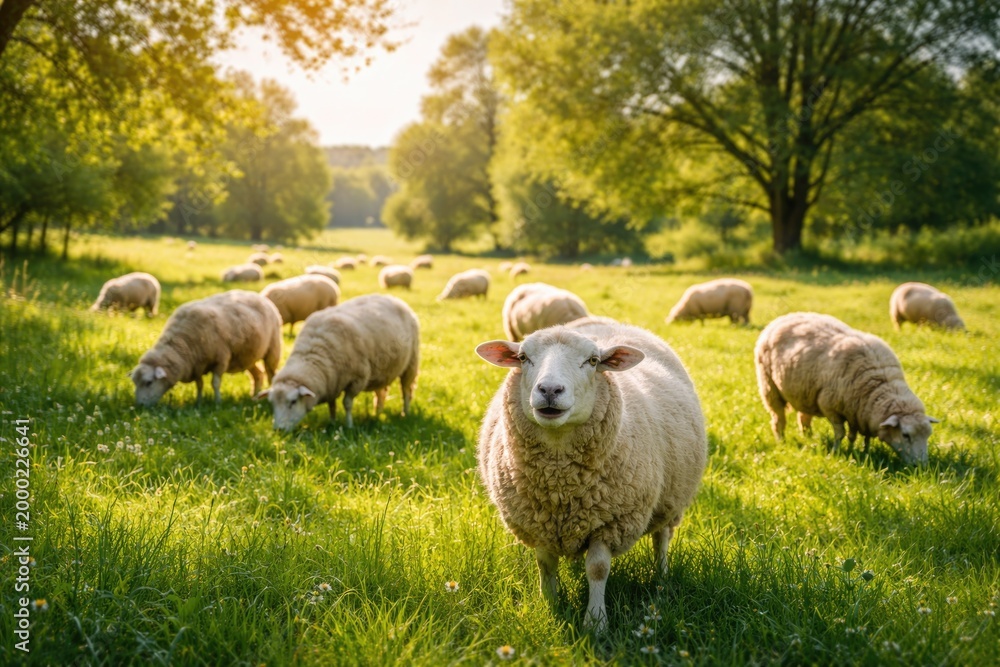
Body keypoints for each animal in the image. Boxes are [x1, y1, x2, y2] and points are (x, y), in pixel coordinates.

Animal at [131, 290, 282, 406]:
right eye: (135, 383)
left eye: (149, 382)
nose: (140, 406)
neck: (181, 344)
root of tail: (260, 296)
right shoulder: (197, 365)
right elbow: (199, 385)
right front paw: (198, 402)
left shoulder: (221, 359)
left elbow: (215, 383)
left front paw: (217, 402)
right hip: (247, 356)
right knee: (258, 375)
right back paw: (254, 397)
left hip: (272, 349)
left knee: (271, 374)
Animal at [258, 294, 420, 429]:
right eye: (272, 403)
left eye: (293, 402)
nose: (278, 429)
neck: (314, 354)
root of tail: (394, 298)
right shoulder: (332, 380)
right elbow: (332, 405)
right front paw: (332, 422)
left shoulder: (357, 379)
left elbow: (347, 404)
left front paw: (349, 426)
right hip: (383, 370)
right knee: (381, 392)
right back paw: (378, 413)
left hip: (411, 363)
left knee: (406, 390)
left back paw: (405, 413)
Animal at [475, 317, 707, 631]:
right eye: (523, 357)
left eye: (593, 361)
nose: (550, 390)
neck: (559, 484)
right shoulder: (537, 524)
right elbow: (545, 564)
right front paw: (550, 606)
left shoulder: (610, 523)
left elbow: (597, 569)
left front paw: (595, 623)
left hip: (670, 502)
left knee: (661, 538)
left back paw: (661, 579)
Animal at [755, 312, 938, 465]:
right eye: (905, 435)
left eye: (928, 434)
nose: (922, 467)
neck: (880, 383)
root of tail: (782, 318)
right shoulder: (830, 407)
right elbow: (840, 434)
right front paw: (837, 452)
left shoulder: (858, 411)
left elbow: (857, 436)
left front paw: (862, 451)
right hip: (770, 388)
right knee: (778, 419)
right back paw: (781, 441)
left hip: (804, 393)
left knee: (804, 418)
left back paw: (809, 437)